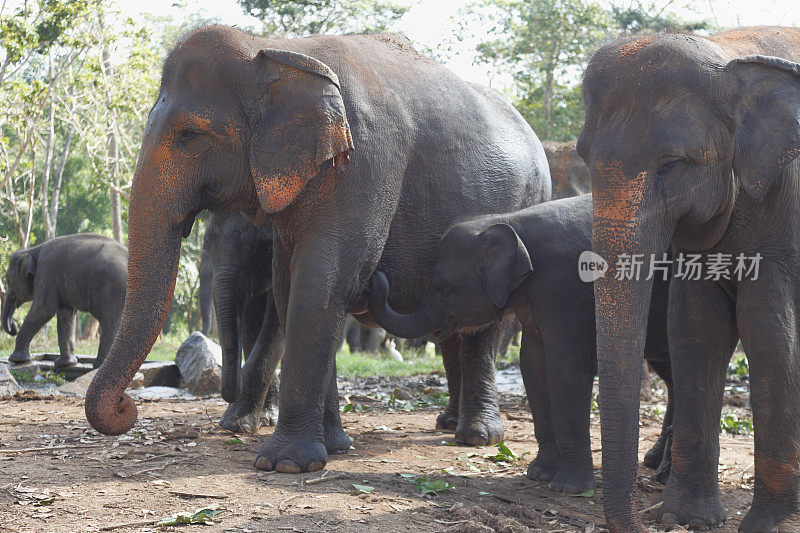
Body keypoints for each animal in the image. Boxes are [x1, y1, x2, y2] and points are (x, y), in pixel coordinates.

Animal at [1, 235, 126, 368]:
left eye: (8, 280)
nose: (14, 327)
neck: (33, 250)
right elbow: (65, 314)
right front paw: (66, 364)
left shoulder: (46, 272)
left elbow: (43, 310)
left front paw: (16, 360)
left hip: (111, 289)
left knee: (109, 322)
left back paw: (100, 365)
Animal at [84, 26, 552, 474]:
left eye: (190, 134)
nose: (125, 407)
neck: (277, 50)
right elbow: (292, 289)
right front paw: (333, 447)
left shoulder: (365, 162)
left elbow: (323, 285)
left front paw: (284, 462)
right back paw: (449, 424)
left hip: (516, 218)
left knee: (483, 327)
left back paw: (477, 437)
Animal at [372, 194, 672, 494]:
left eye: (442, 289)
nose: (376, 276)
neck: (512, 222)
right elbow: (533, 366)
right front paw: (538, 475)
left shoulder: (568, 288)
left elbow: (566, 369)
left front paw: (569, 488)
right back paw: (657, 466)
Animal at [580, 28, 800, 532]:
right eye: (583, 157)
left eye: (672, 164)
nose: (644, 520)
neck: (728, 56)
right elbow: (696, 328)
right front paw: (684, 517)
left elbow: (770, 332)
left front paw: (768, 526)